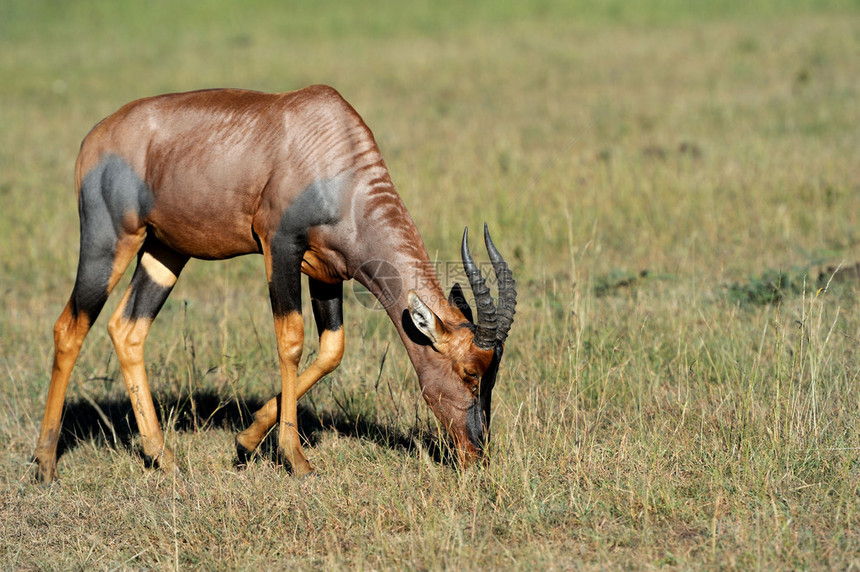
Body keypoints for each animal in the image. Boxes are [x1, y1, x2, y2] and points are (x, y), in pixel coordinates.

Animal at [33, 85, 516, 482]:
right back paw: (45, 464)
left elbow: (331, 350)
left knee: (128, 329)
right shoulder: (280, 246)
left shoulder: (327, 272)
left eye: (493, 374)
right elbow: (291, 340)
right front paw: (296, 460)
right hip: (109, 240)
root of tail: (94, 138)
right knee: (69, 328)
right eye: (469, 372)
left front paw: (245, 442)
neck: (332, 148)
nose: (477, 455)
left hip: (164, 252)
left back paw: (164, 458)